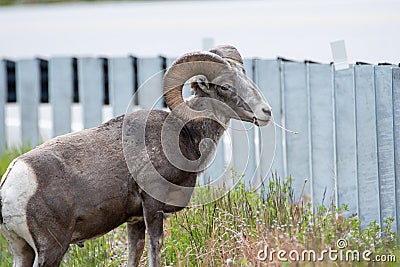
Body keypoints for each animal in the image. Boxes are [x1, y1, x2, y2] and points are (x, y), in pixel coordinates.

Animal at [0, 45, 270, 266]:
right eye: (225, 86)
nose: (265, 112)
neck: (184, 134)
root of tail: (11, 182)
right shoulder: (152, 206)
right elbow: (155, 248)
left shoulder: (135, 220)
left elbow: (135, 253)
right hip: (51, 249)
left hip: (23, 251)